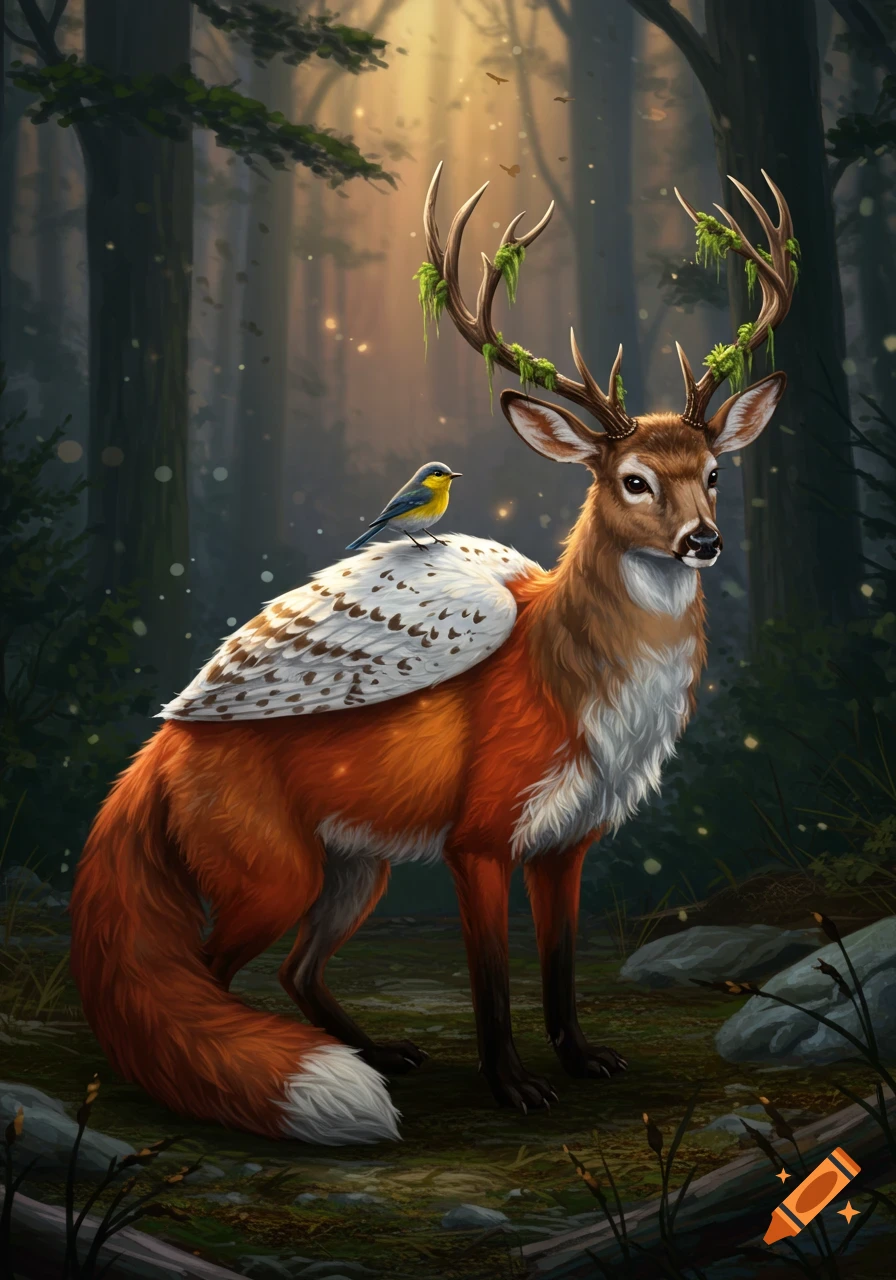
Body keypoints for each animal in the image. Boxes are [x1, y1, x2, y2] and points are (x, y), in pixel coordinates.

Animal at [69, 164, 796, 1144]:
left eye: (715, 473)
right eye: (633, 480)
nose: (704, 542)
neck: (578, 690)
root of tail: (155, 750)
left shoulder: (567, 842)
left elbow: (559, 971)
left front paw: (582, 1059)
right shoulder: (478, 840)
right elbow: (490, 983)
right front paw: (514, 1087)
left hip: (354, 869)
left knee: (295, 970)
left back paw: (377, 1053)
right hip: (274, 873)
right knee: (208, 979)